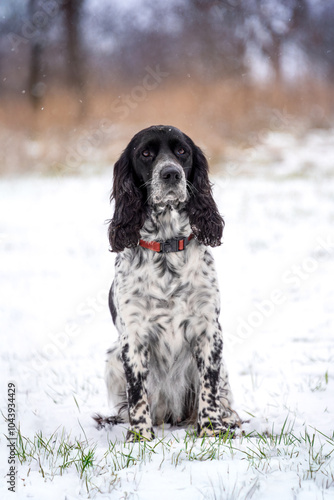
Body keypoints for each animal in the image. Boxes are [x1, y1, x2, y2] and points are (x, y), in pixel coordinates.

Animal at [99, 125, 240, 442]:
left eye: (182, 152)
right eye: (146, 153)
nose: (171, 173)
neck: (166, 245)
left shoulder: (209, 330)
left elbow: (209, 388)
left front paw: (210, 430)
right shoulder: (133, 335)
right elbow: (137, 393)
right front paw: (140, 437)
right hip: (112, 357)